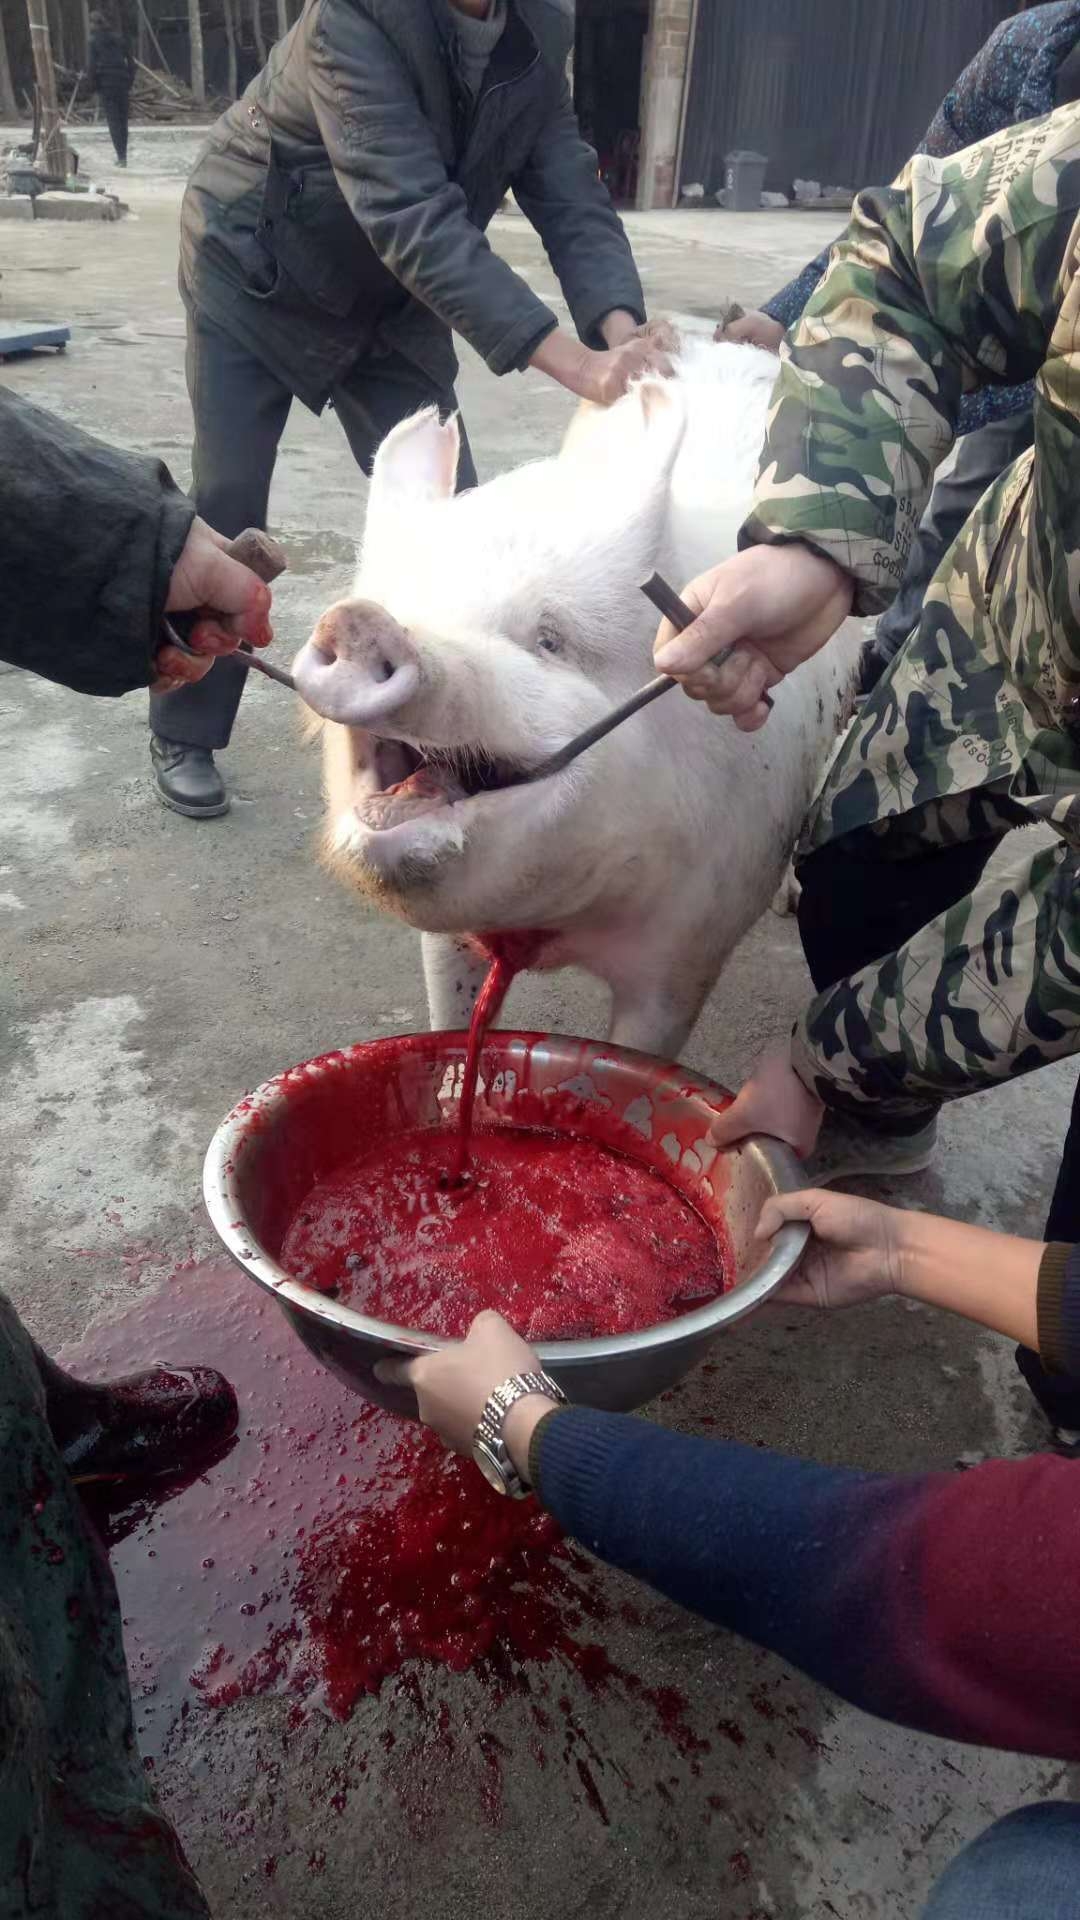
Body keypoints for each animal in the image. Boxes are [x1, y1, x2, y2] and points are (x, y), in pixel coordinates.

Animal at [292, 326, 857, 1052]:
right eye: (398, 597)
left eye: (549, 638)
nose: (361, 622)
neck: (559, 919)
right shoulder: (448, 937)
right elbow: (449, 1015)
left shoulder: (690, 947)